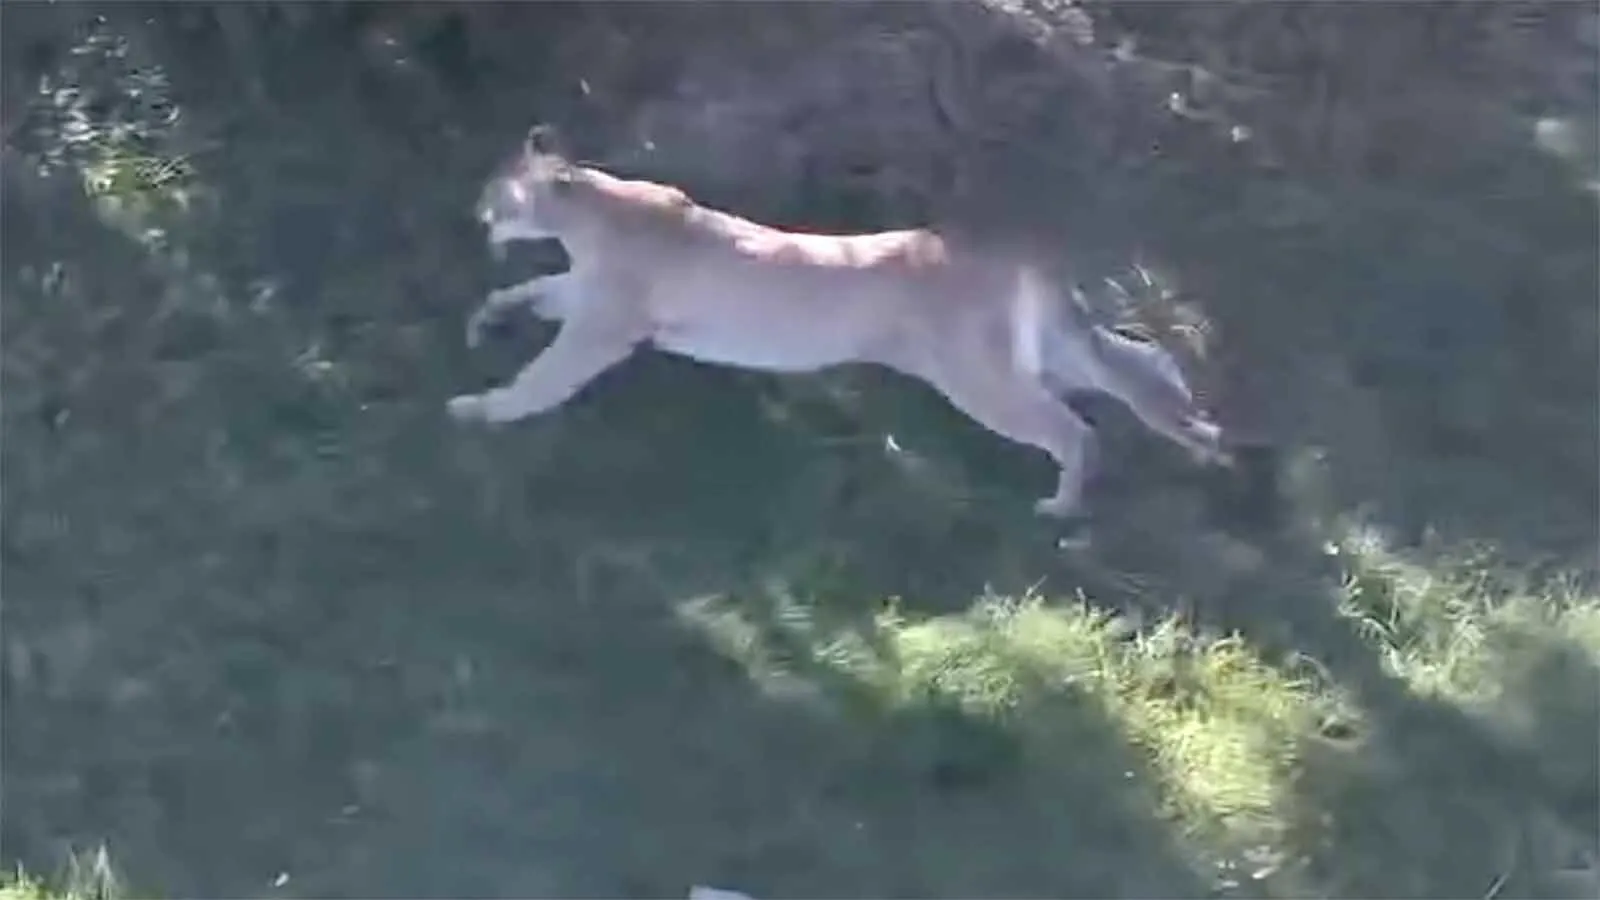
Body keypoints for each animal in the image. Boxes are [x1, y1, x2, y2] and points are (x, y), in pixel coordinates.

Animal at [449, 125, 1229, 519]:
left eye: (497, 186)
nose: (476, 208)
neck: (592, 214)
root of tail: (1007, 247)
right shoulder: (584, 296)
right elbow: (526, 292)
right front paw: (482, 322)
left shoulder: (604, 327)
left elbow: (544, 377)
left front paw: (482, 408)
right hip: (1043, 357)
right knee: (1135, 366)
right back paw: (1190, 427)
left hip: (977, 378)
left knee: (1077, 428)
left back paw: (1061, 507)